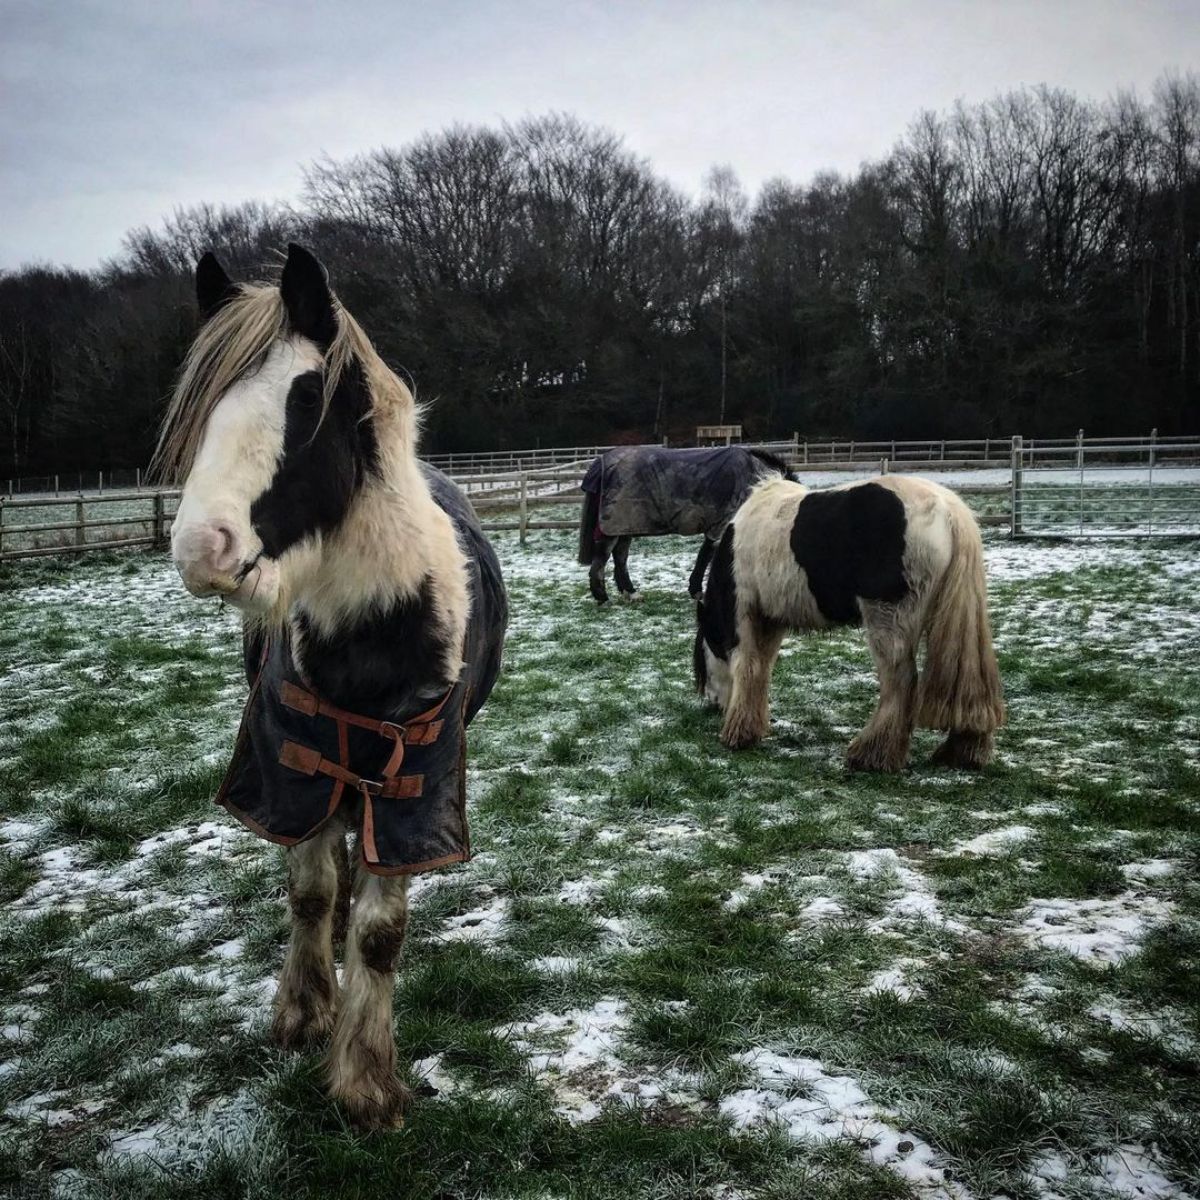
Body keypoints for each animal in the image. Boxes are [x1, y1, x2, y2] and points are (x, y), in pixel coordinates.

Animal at [154, 241, 506, 1123]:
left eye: (305, 396)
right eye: (203, 406)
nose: (201, 548)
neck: (374, 629)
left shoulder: (414, 781)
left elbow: (380, 932)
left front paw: (366, 1083)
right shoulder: (292, 761)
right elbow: (311, 890)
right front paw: (306, 1013)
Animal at [576, 446, 792, 604]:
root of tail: (601, 462)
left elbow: (705, 555)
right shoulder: (723, 525)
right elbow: (708, 557)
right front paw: (698, 591)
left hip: (625, 525)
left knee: (620, 557)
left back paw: (631, 593)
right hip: (612, 526)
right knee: (601, 559)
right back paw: (603, 598)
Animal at [691, 472, 1008, 772]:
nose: (714, 704)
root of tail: (950, 511)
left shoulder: (744, 611)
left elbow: (747, 665)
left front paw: (738, 734)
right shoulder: (770, 618)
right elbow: (762, 668)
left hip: (887, 619)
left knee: (900, 680)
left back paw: (871, 755)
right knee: (970, 684)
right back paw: (963, 751)